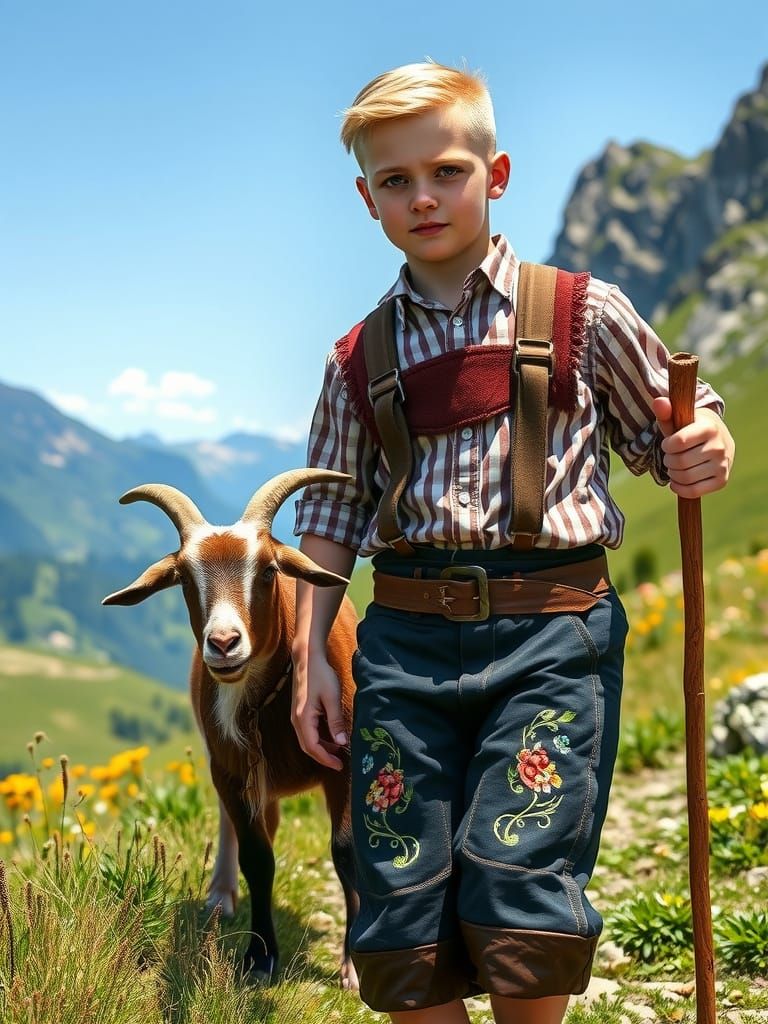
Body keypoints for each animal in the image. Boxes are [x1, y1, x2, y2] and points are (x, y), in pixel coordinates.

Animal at [103, 469, 359, 986]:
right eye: (183, 577)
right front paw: (260, 956)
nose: (223, 643)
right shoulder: (230, 768)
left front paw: (356, 963)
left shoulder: (342, 758)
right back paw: (221, 895)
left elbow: (345, 851)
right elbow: (257, 857)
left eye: (269, 570)